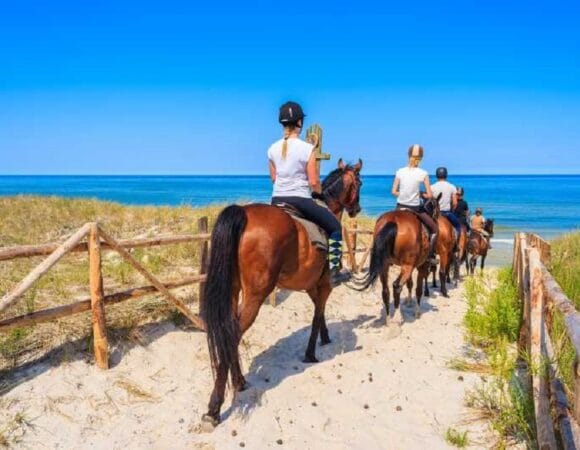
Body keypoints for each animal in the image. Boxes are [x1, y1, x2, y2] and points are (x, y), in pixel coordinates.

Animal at [202, 160, 360, 428]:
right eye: (359, 183)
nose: (357, 209)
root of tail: (244, 214)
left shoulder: (311, 285)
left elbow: (320, 312)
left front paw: (325, 337)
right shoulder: (325, 284)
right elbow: (317, 315)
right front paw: (311, 353)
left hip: (234, 290)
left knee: (228, 331)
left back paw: (240, 382)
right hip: (256, 295)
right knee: (233, 334)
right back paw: (214, 408)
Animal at [358, 195, 440, 326]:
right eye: (438, 210)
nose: (437, 219)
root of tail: (393, 221)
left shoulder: (409, 266)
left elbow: (410, 284)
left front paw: (409, 301)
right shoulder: (421, 266)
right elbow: (418, 289)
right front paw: (417, 311)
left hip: (386, 265)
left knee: (385, 290)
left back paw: (388, 318)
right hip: (407, 266)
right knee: (396, 286)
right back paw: (397, 316)